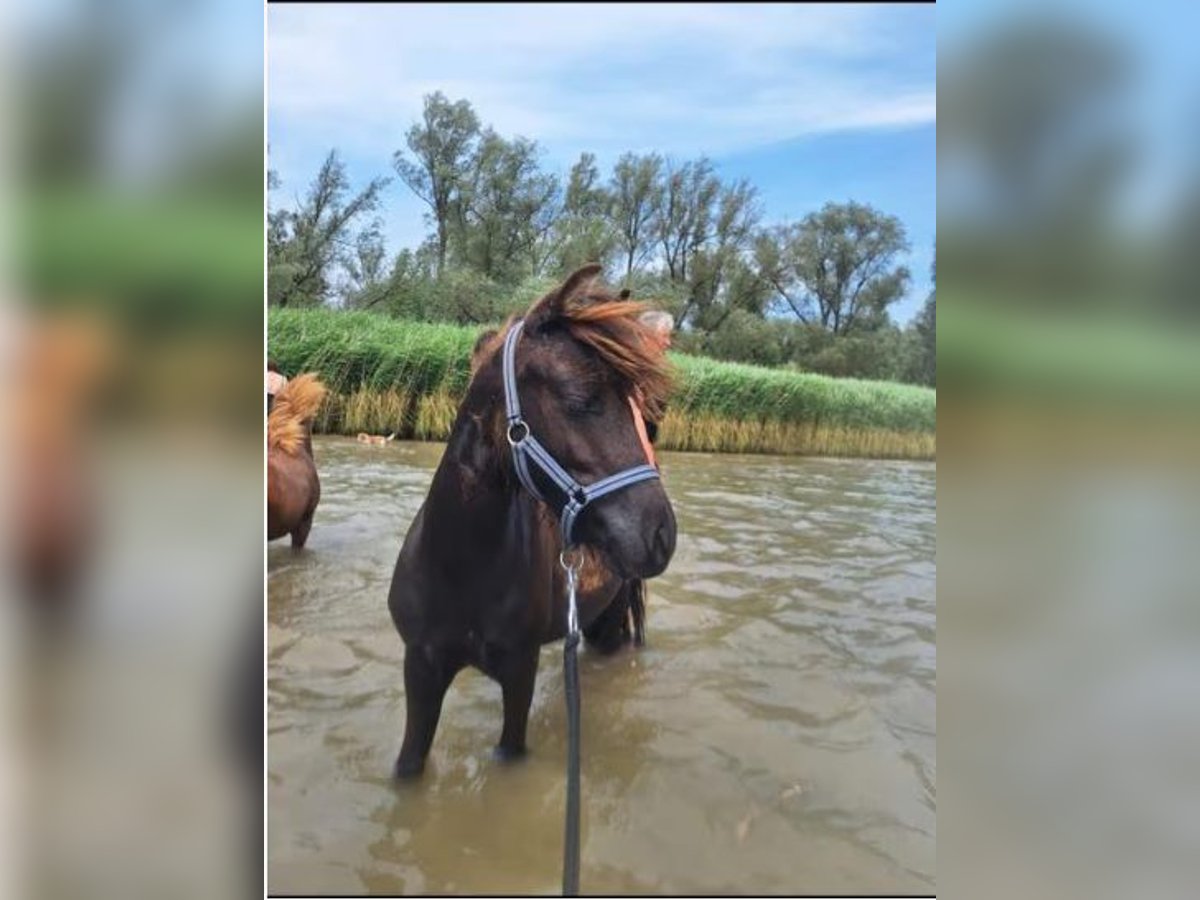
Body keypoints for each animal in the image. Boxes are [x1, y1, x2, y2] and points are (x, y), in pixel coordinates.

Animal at [391, 264, 681, 777]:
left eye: (639, 405)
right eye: (580, 397)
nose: (661, 533)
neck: (460, 566)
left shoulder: (518, 671)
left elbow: (510, 752)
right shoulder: (420, 667)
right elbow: (408, 768)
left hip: (609, 624)